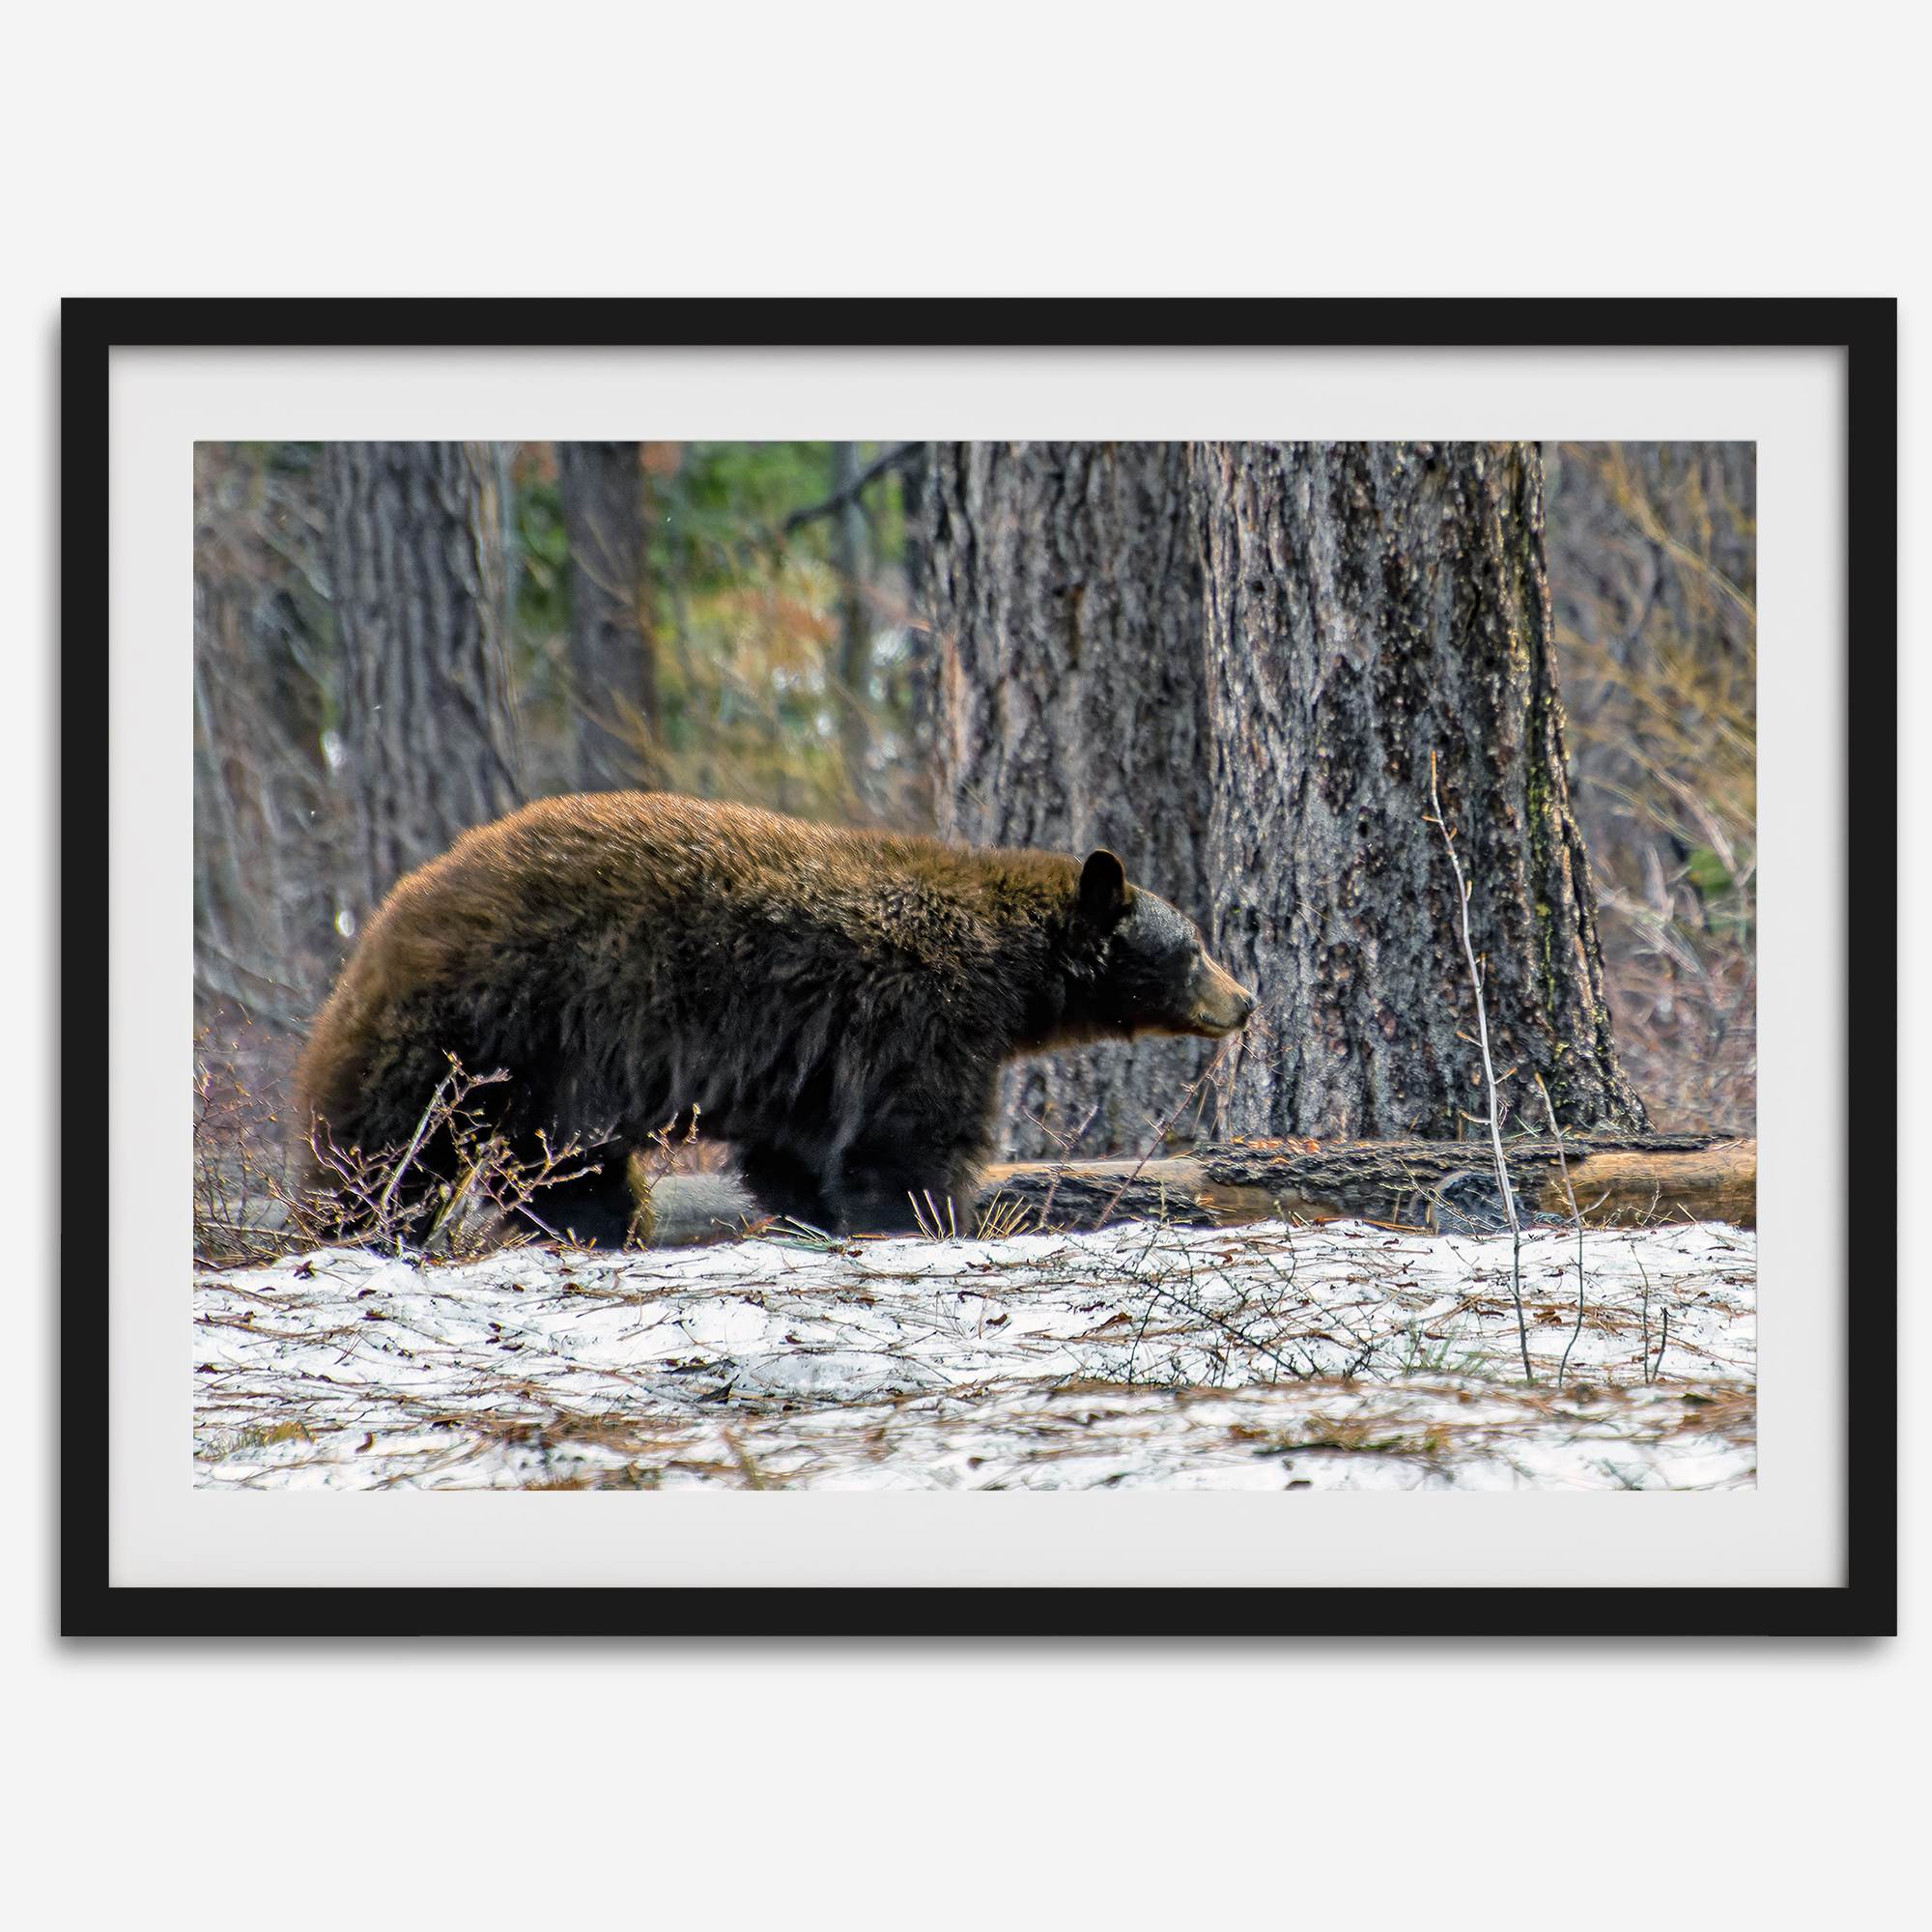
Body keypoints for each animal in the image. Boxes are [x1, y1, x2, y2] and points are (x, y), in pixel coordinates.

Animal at [294, 791, 1255, 1243]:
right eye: (1195, 946)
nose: (1245, 1001)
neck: (1008, 972)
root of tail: (387, 918)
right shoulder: (919, 1016)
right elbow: (909, 1139)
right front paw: (933, 1217)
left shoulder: (809, 1057)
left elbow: (796, 1151)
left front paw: (817, 1215)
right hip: (490, 1026)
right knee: (389, 1148)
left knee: (557, 1166)